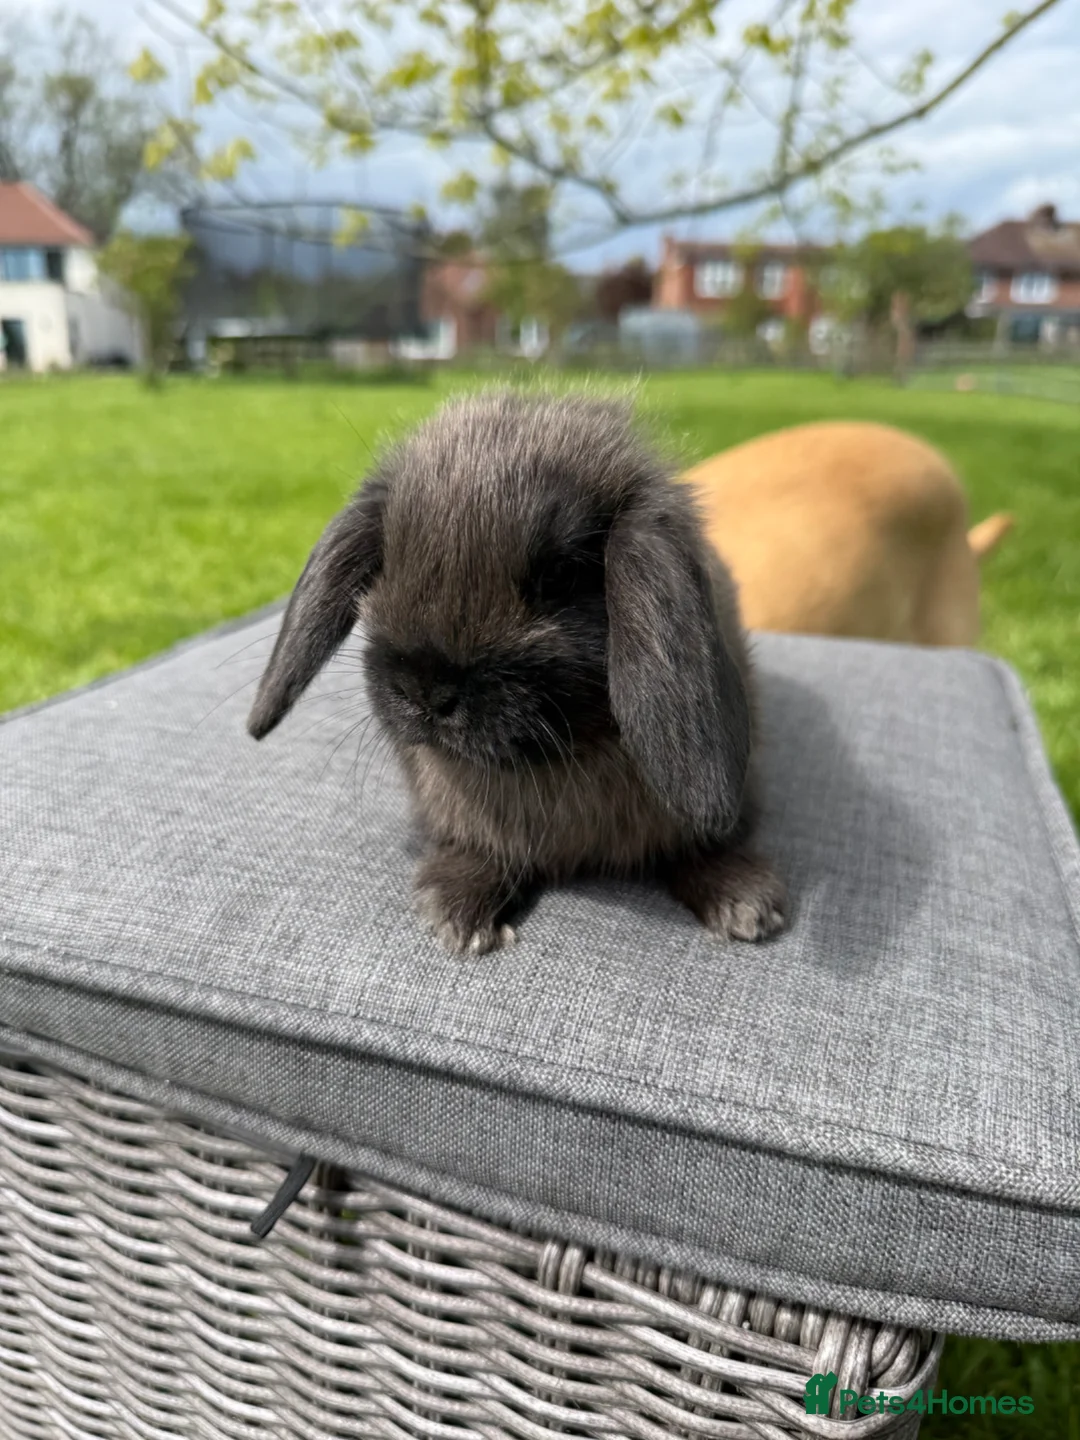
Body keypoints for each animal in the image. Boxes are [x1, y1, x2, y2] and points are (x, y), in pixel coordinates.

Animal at [247, 390, 786, 955]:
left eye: (561, 576)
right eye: (387, 561)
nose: (426, 691)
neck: (557, 758)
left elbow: (700, 847)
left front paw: (745, 902)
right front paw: (457, 912)